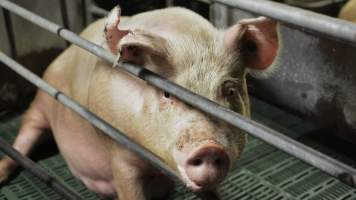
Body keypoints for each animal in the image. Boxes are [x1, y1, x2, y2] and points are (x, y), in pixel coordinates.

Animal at [0, 5, 278, 198]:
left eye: (229, 91)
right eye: (167, 93)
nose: (210, 148)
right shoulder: (118, 151)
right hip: (41, 99)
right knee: (26, 134)